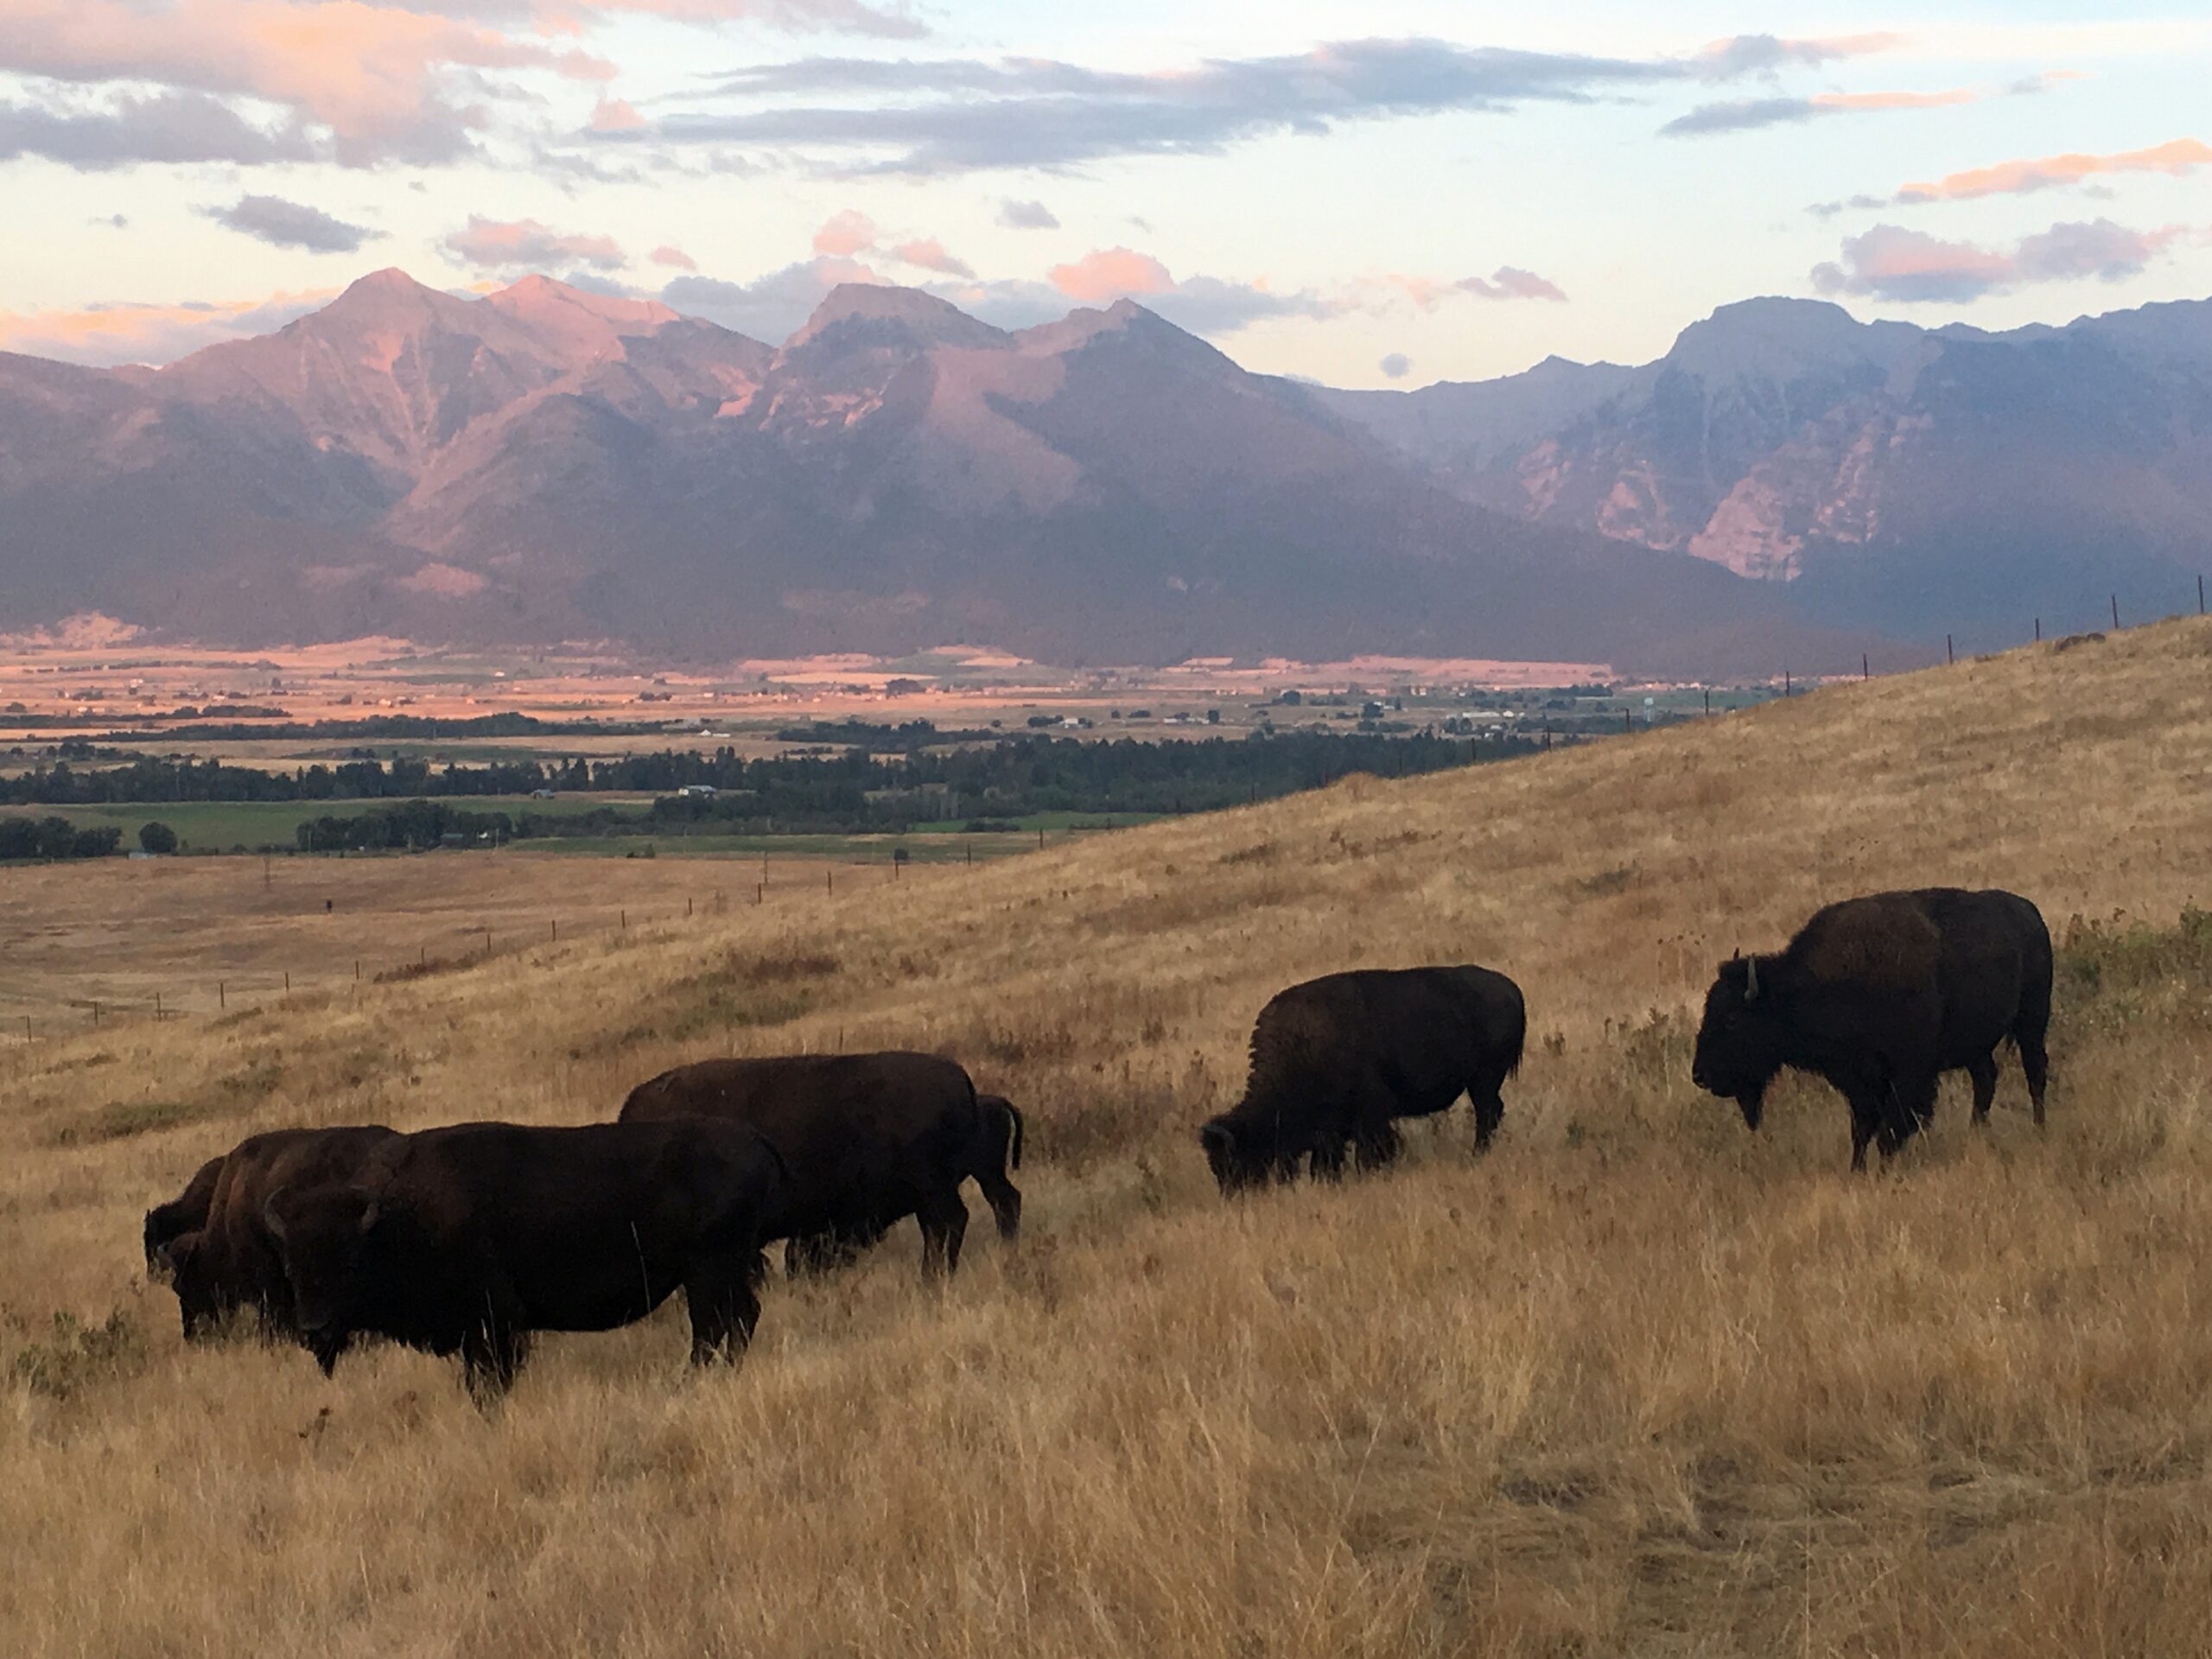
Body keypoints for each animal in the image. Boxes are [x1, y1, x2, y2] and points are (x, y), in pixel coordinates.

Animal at [260, 1119, 784, 1398]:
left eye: (348, 1263)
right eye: (291, 1267)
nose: (314, 1330)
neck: (397, 1219)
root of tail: (752, 1139)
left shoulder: (493, 1323)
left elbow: (490, 1381)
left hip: (708, 1271)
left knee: (714, 1327)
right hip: (722, 1271)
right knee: (738, 1320)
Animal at [1199, 966, 1528, 1194]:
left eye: (1235, 1161)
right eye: (1214, 1167)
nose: (1234, 1196)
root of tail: (1510, 988)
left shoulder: (1369, 1117)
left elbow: (1370, 1151)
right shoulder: (1331, 1132)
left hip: (1483, 1079)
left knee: (1487, 1114)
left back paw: (1476, 1155)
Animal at [1691, 887, 2052, 1170]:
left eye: (1732, 1018)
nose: (1700, 1075)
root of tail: (2029, 910)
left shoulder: (1908, 1075)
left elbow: (1891, 1130)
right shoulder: (1858, 1081)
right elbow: (1863, 1130)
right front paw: (1858, 1171)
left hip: (2032, 1021)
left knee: (2035, 1074)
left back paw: (2039, 1129)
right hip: (1976, 1046)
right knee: (1986, 1080)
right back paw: (1976, 1132)